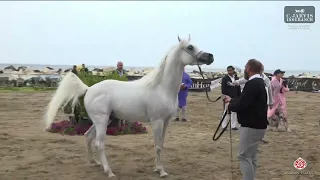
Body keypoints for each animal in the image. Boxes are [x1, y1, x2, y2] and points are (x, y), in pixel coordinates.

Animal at [43, 35, 214, 178]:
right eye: (190, 47)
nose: (210, 56)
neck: (161, 88)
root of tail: (89, 88)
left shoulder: (166, 121)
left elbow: (161, 145)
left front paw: (157, 168)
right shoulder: (157, 121)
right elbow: (157, 146)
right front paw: (161, 171)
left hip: (102, 120)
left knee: (87, 136)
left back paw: (95, 163)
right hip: (101, 121)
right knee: (99, 143)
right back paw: (109, 172)